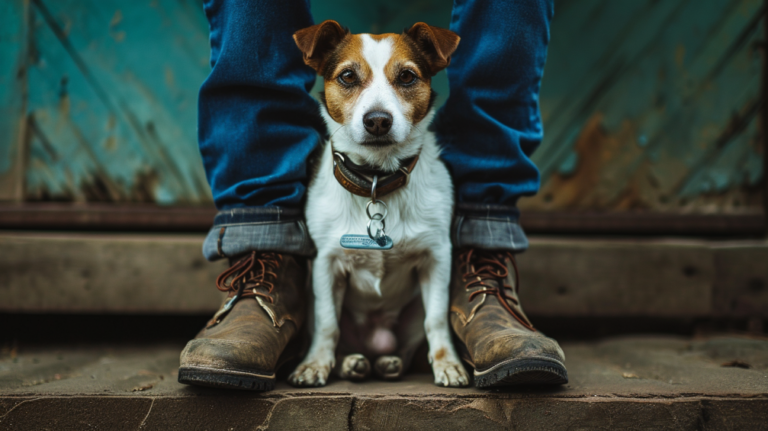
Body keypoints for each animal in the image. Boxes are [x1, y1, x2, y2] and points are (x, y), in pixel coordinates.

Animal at [286, 20, 468, 388]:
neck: (376, 179)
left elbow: (436, 320)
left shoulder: (437, 257)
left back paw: (389, 363)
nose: (378, 120)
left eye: (407, 77)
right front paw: (316, 364)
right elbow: (328, 324)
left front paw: (448, 363)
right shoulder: (326, 264)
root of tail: (374, 340)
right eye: (347, 76)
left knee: (407, 344)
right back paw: (351, 363)